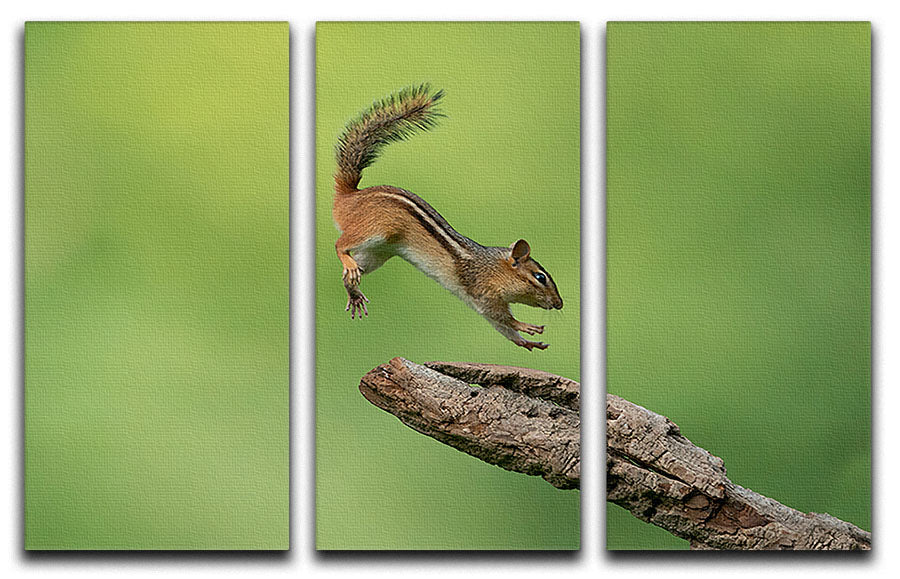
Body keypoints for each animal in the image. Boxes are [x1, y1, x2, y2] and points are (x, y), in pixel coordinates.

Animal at [332, 85, 564, 351]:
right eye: (540, 277)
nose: (560, 304)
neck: (493, 267)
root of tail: (350, 195)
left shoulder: (480, 302)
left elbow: (501, 327)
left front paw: (527, 342)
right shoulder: (483, 292)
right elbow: (501, 317)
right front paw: (526, 327)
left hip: (375, 254)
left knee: (348, 274)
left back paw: (354, 293)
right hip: (375, 230)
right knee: (340, 245)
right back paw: (347, 262)